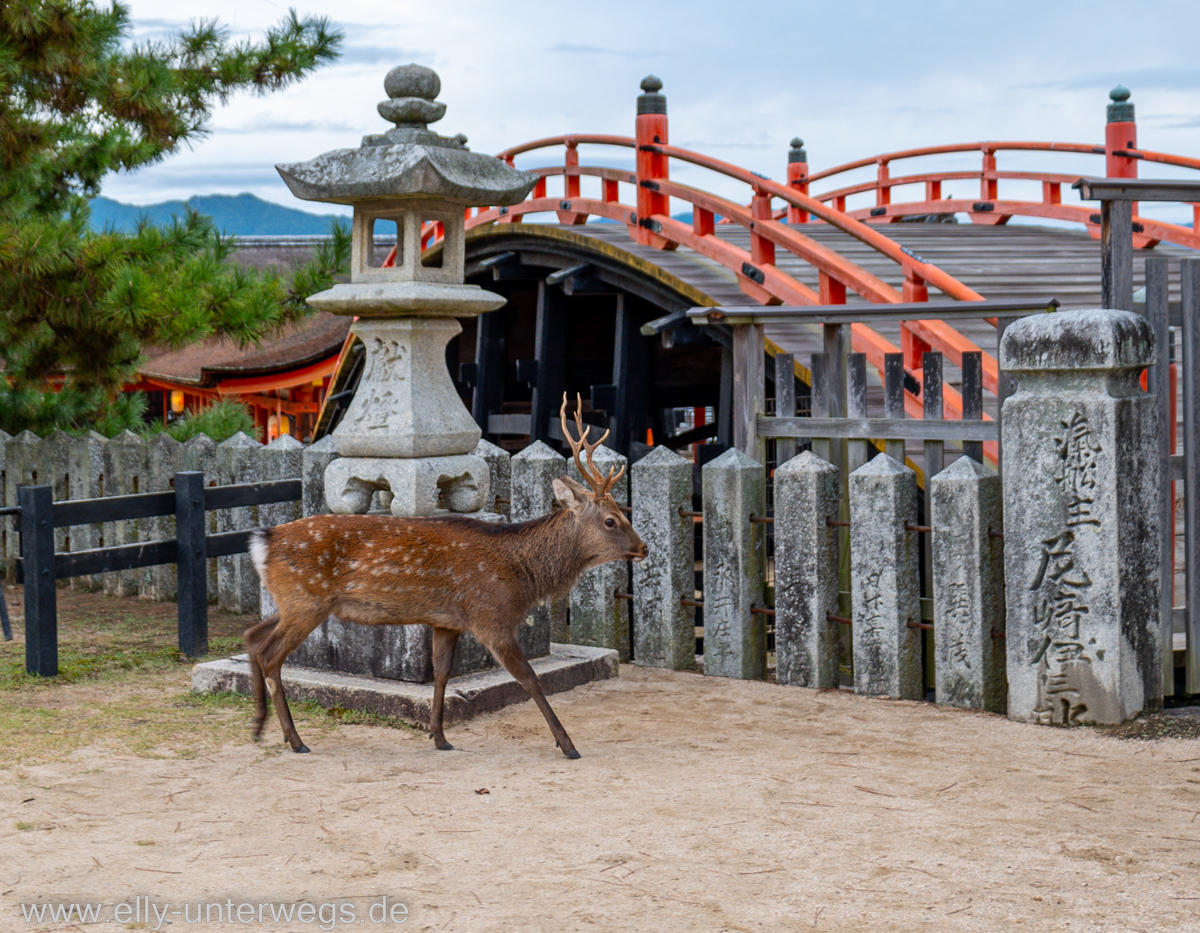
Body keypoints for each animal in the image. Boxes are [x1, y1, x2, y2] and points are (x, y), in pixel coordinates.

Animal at [242, 393, 648, 757]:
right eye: (611, 520)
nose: (644, 548)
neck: (523, 576)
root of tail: (262, 541)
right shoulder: (490, 616)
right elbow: (529, 679)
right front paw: (568, 745)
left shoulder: (447, 621)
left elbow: (441, 675)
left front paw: (439, 737)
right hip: (305, 600)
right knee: (271, 656)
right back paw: (294, 739)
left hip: (293, 602)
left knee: (253, 637)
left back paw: (260, 726)